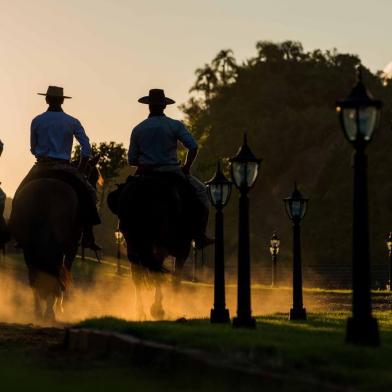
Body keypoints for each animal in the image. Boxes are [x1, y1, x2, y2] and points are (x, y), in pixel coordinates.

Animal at [9, 159, 99, 322]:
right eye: (93, 177)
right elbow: (66, 273)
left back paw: (39, 311)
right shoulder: (71, 248)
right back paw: (50, 311)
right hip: (59, 245)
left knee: (35, 276)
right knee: (54, 274)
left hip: (29, 246)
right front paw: (60, 306)